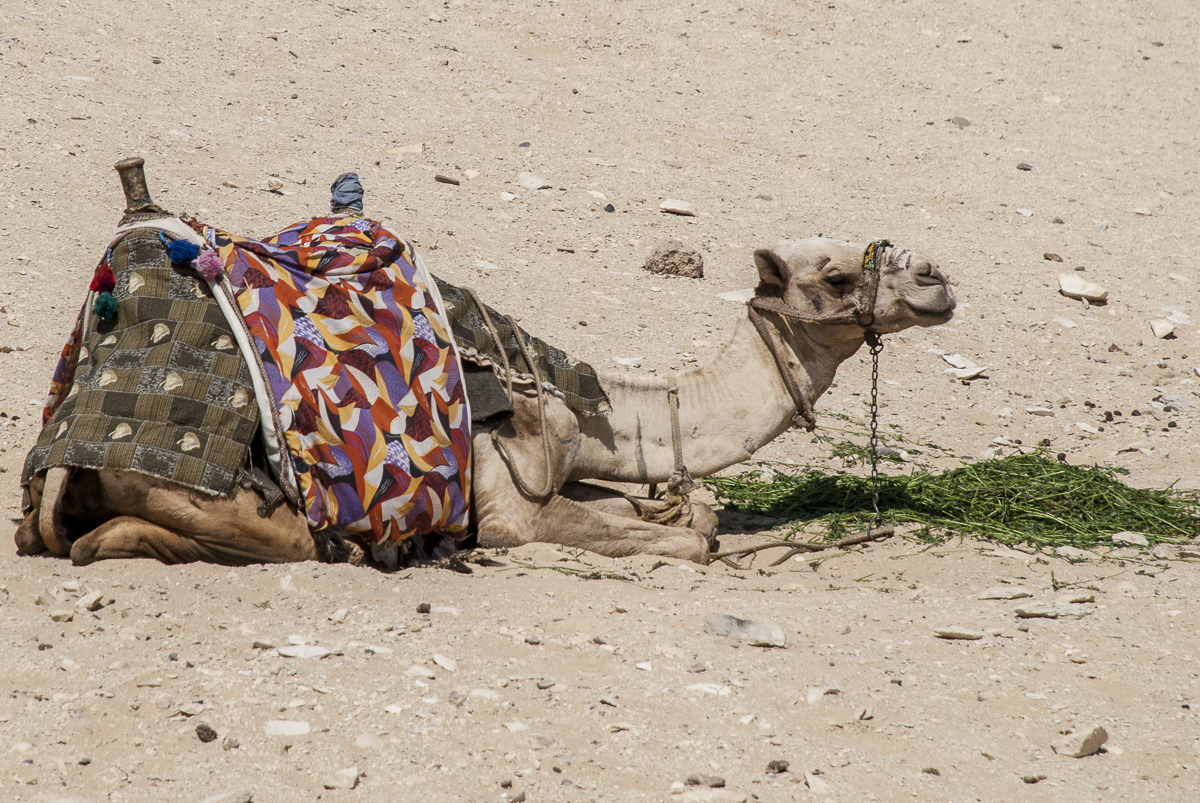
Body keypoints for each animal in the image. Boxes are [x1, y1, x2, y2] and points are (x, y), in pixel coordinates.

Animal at [15, 164, 955, 567]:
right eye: (835, 278)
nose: (938, 280)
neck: (588, 405)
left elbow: (690, 508)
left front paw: (669, 502)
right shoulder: (509, 504)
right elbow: (689, 537)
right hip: (246, 498)